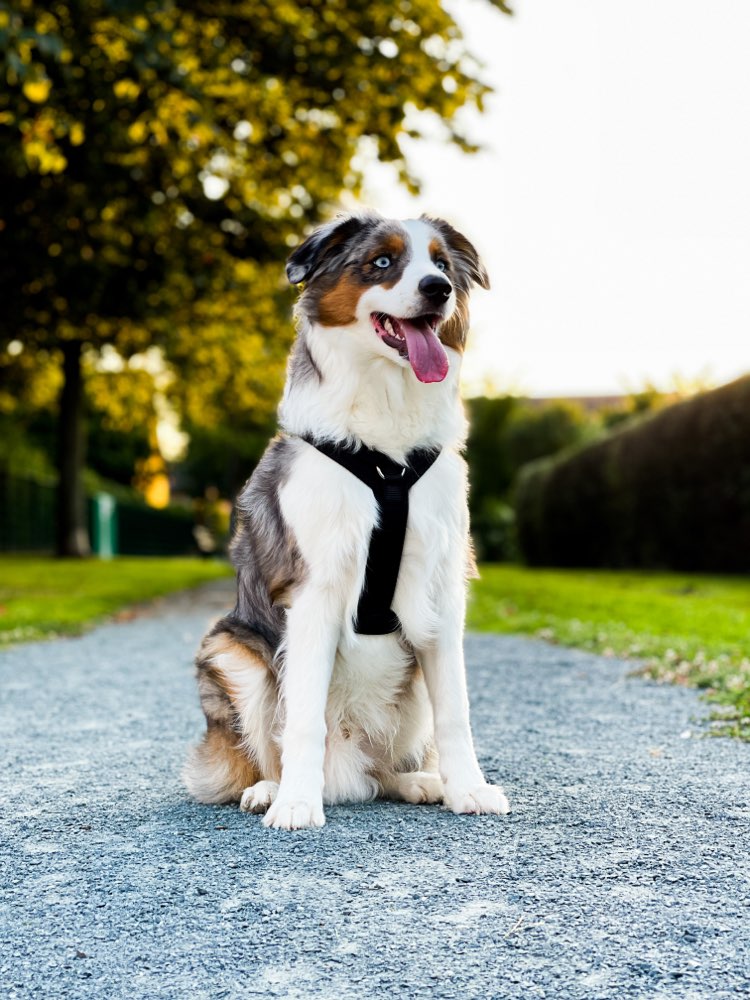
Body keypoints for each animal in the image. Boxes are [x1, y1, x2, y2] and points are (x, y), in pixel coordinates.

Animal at [184, 215, 512, 832]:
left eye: (442, 264)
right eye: (382, 262)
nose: (438, 289)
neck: (388, 450)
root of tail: (347, 772)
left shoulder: (441, 593)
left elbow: (456, 713)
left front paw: (468, 789)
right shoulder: (314, 591)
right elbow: (302, 719)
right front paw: (295, 803)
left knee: (384, 771)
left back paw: (418, 781)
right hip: (230, 651)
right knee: (271, 743)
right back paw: (272, 789)